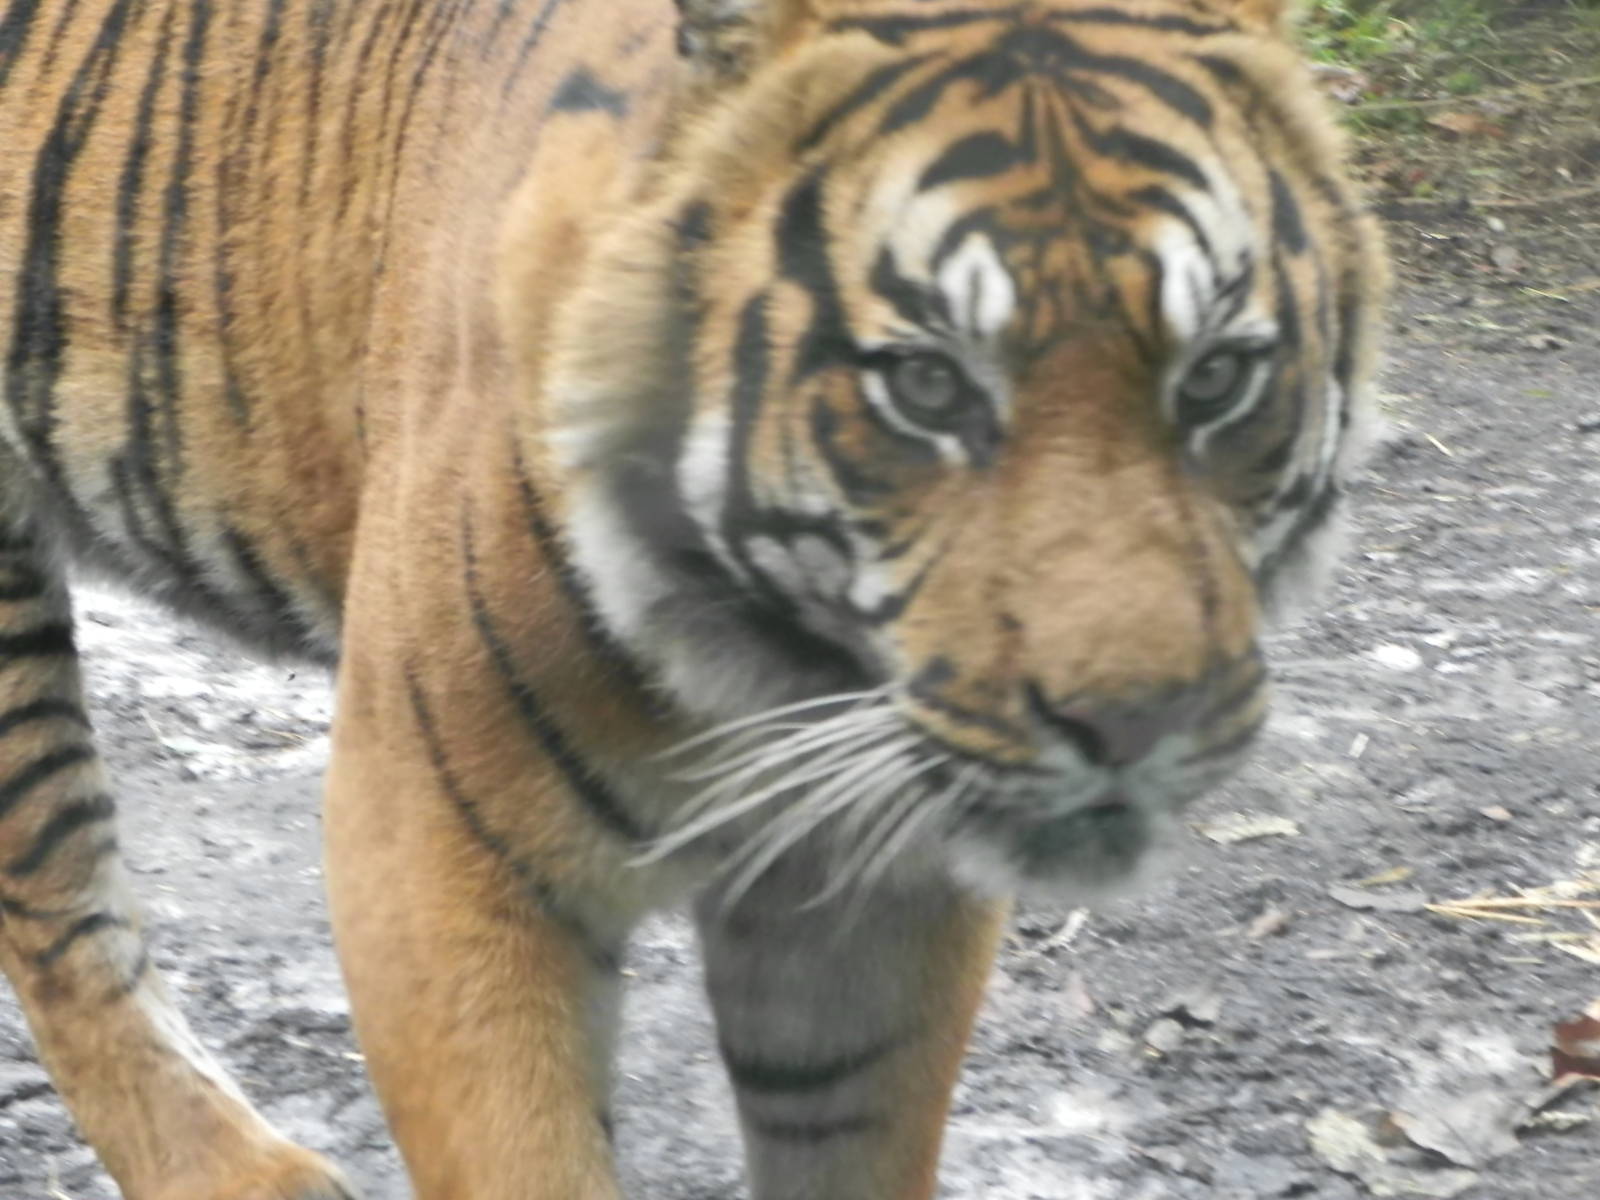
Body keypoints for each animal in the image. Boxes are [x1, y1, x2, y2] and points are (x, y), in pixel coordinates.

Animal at [0, 0, 1386, 1196]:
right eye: (926, 387)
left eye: (1215, 378)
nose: (1137, 723)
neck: (778, 669)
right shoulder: (439, 856)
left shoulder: (871, 888)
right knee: (54, 890)